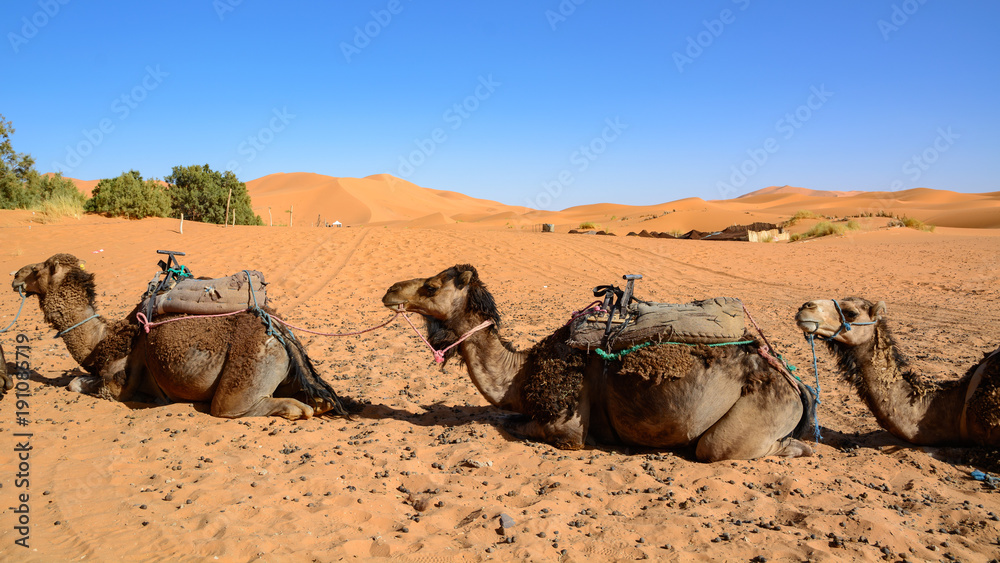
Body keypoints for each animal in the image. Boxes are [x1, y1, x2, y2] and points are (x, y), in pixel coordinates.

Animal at [9, 254, 348, 418]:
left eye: (40, 269)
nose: (15, 275)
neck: (104, 341)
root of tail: (280, 332)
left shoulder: (119, 382)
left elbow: (77, 384)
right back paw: (319, 404)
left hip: (247, 368)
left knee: (232, 408)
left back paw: (299, 410)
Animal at [378, 264, 816, 462]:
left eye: (432, 286)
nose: (390, 290)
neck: (518, 376)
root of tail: (794, 384)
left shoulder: (568, 426)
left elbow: (513, 424)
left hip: (748, 420)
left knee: (721, 446)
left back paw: (800, 447)